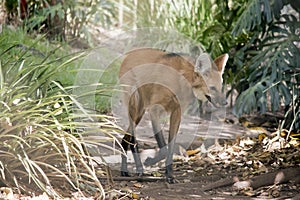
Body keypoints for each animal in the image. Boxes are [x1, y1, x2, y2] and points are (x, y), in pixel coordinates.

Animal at [118, 48, 229, 183]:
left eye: (220, 88)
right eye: (212, 88)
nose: (225, 102)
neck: (181, 81)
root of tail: (127, 55)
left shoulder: (176, 112)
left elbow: (170, 146)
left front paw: (169, 174)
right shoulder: (154, 110)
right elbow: (164, 148)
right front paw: (151, 162)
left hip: (140, 111)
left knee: (125, 138)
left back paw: (125, 169)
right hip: (136, 105)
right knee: (132, 139)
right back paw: (138, 169)